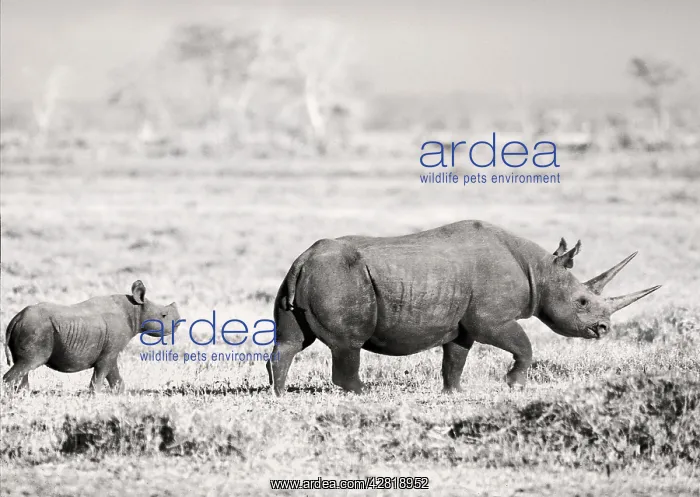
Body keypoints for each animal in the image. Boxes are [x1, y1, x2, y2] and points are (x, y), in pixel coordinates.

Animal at [3, 280, 181, 393]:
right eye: (164, 315)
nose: (178, 323)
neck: (136, 309)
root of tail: (16, 318)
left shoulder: (110, 353)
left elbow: (116, 379)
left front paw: (121, 395)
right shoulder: (109, 352)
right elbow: (100, 377)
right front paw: (96, 397)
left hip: (30, 327)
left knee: (24, 366)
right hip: (36, 329)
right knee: (30, 362)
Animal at [266, 220, 660, 395]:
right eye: (582, 302)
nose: (603, 329)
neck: (541, 270)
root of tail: (303, 261)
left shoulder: (463, 323)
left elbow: (455, 358)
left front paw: (454, 393)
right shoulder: (491, 319)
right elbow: (524, 345)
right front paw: (514, 384)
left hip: (308, 275)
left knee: (291, 341)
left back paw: (279, 394)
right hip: (339, 277)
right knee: (349, 344)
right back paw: (363, 392)